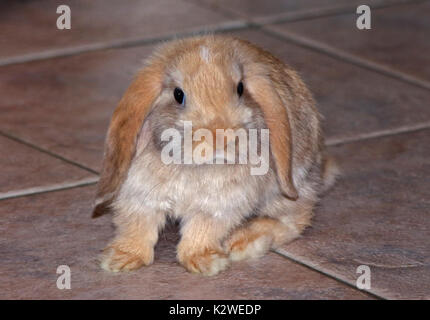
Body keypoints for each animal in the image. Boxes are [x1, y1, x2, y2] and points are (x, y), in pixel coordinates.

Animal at [93, 34, 340, 276]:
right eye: (178, 94)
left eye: (240, 88)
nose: (220, 138)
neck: (193, 166)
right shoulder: (140, 195)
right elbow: (138, 226)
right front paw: (120, 259)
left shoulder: (218, 205)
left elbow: (201, 230)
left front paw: (204, 262)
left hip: (288, 188)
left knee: (295, 220)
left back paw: (241, 243)